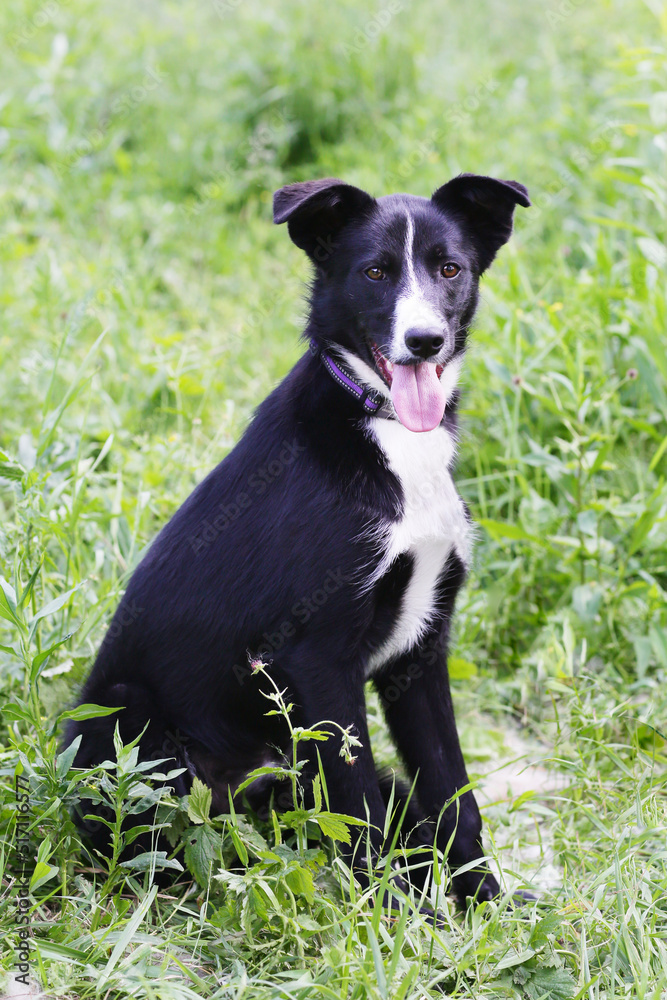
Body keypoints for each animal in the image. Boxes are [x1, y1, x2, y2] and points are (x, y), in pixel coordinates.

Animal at [65, 174, 528, 908]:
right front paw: (387, 919)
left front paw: (487, 905)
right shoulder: (320, 658)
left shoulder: (421, 653)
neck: (388, 434)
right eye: (374, 272)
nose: (424, 341)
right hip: (124, 715)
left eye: (449, 269)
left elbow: (454, 794)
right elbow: (357, 806)